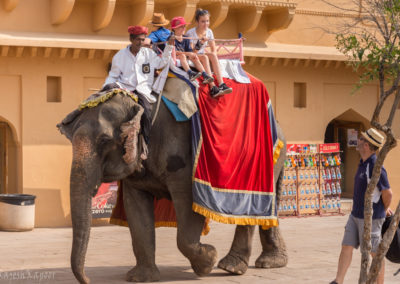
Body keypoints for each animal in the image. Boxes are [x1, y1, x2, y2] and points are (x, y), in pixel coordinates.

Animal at [57, 87, 288, 284]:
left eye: (104, 141)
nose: (88, 280)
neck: (140, 104)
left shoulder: (183, 158)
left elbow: (188, 206)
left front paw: (207, 262)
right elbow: (136, 210)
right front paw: (140, 278)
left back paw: (231, 267)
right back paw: (271, 262)